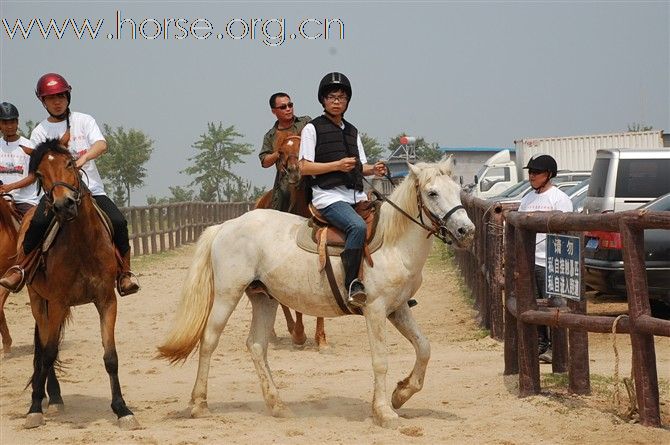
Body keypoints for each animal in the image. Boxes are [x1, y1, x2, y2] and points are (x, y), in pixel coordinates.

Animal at [20, 140, 139, 430]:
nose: (64, 205)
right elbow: (49, 353)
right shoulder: (58, 302)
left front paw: (122, 409)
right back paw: (48, 398)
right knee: (44, 348)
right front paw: (34, 409)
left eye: (70, 163)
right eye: (39, 174)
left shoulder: (106, 300)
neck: (83, 243)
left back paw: (54, 398)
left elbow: (110, 357)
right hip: (39, 300)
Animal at [156, 159, 478, 426]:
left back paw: (278, 406)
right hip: (227, 295)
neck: (392, 243)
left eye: (457, 190)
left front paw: (401, 394)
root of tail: (225, 226)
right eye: (432, 193)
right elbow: (381, 361)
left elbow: (424, 348)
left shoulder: (397, 309)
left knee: (257, 345)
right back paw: (199, 405)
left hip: (264, 298)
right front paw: (384, 413)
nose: (466, 231)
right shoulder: (375, 310)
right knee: (209, 341)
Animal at [252, 131, 328, 346]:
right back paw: (284, 332)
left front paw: (321, 338)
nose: (295, 172)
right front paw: (300, 334)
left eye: (302, 147)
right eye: (282, 152)